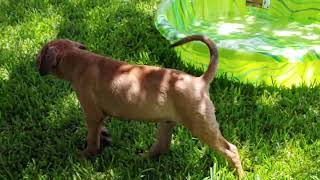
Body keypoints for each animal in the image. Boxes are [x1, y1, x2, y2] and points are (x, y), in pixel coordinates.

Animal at [36, 34, 244, 177]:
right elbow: (101, 131)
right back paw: (138, 159)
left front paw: (85, 155)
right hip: (167, 123)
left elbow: (92, 140)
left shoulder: (92, 114)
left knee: (231, 150)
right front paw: (104, 138)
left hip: (201, 125)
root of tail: (201, 81)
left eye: (42, 53)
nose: (34, 62)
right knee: (161, 148)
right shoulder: (99, 116)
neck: (78, 59)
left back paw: (240, 175)